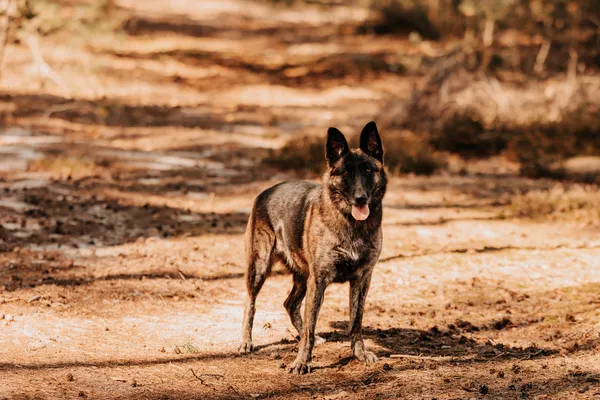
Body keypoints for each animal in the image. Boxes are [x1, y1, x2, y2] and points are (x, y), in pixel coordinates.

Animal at [239, 120, 390, 374]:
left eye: (369, 170)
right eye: (346, 172)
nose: (360, 198)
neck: (351, 223)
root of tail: (265, 192)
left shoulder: (362, 279)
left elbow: (356, 321)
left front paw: (359, 353)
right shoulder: (319, 279)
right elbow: (311, 323)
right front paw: (302, 361)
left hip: (303, 276)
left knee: (289, 304)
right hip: (260, 267)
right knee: (251, 303)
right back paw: (246, 341)